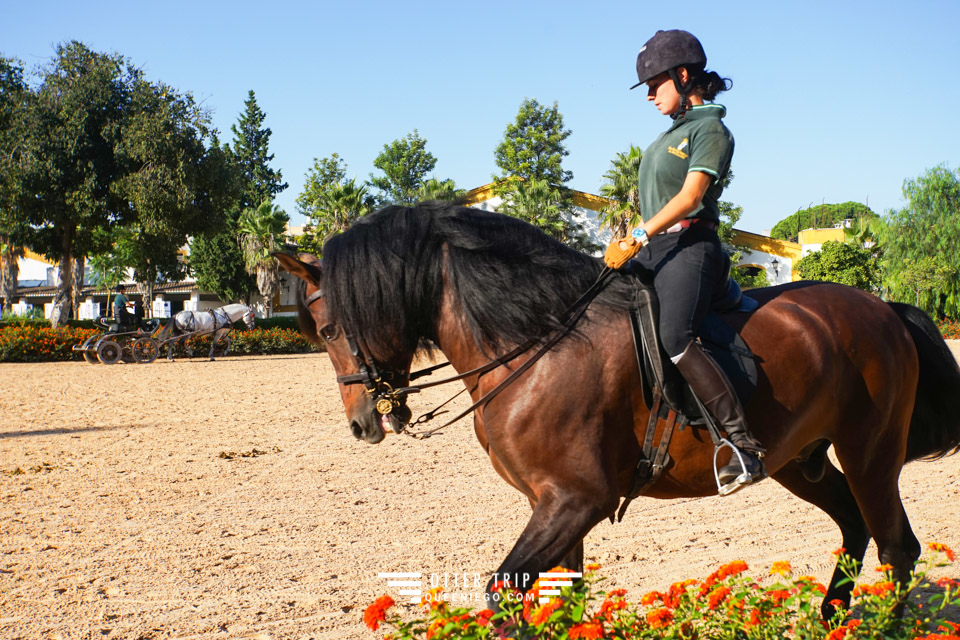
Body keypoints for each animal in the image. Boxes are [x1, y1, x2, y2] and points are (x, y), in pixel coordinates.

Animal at [272, 202, 960, 616]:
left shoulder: (577, 500)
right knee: (856, 527)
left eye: (329, 328)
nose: (362, 424)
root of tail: (882, 306)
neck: (538, 340)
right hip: (801, 461)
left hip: (870, 453)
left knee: (897, 546)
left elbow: (505, 594)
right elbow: (563, 597)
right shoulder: (553, 505)